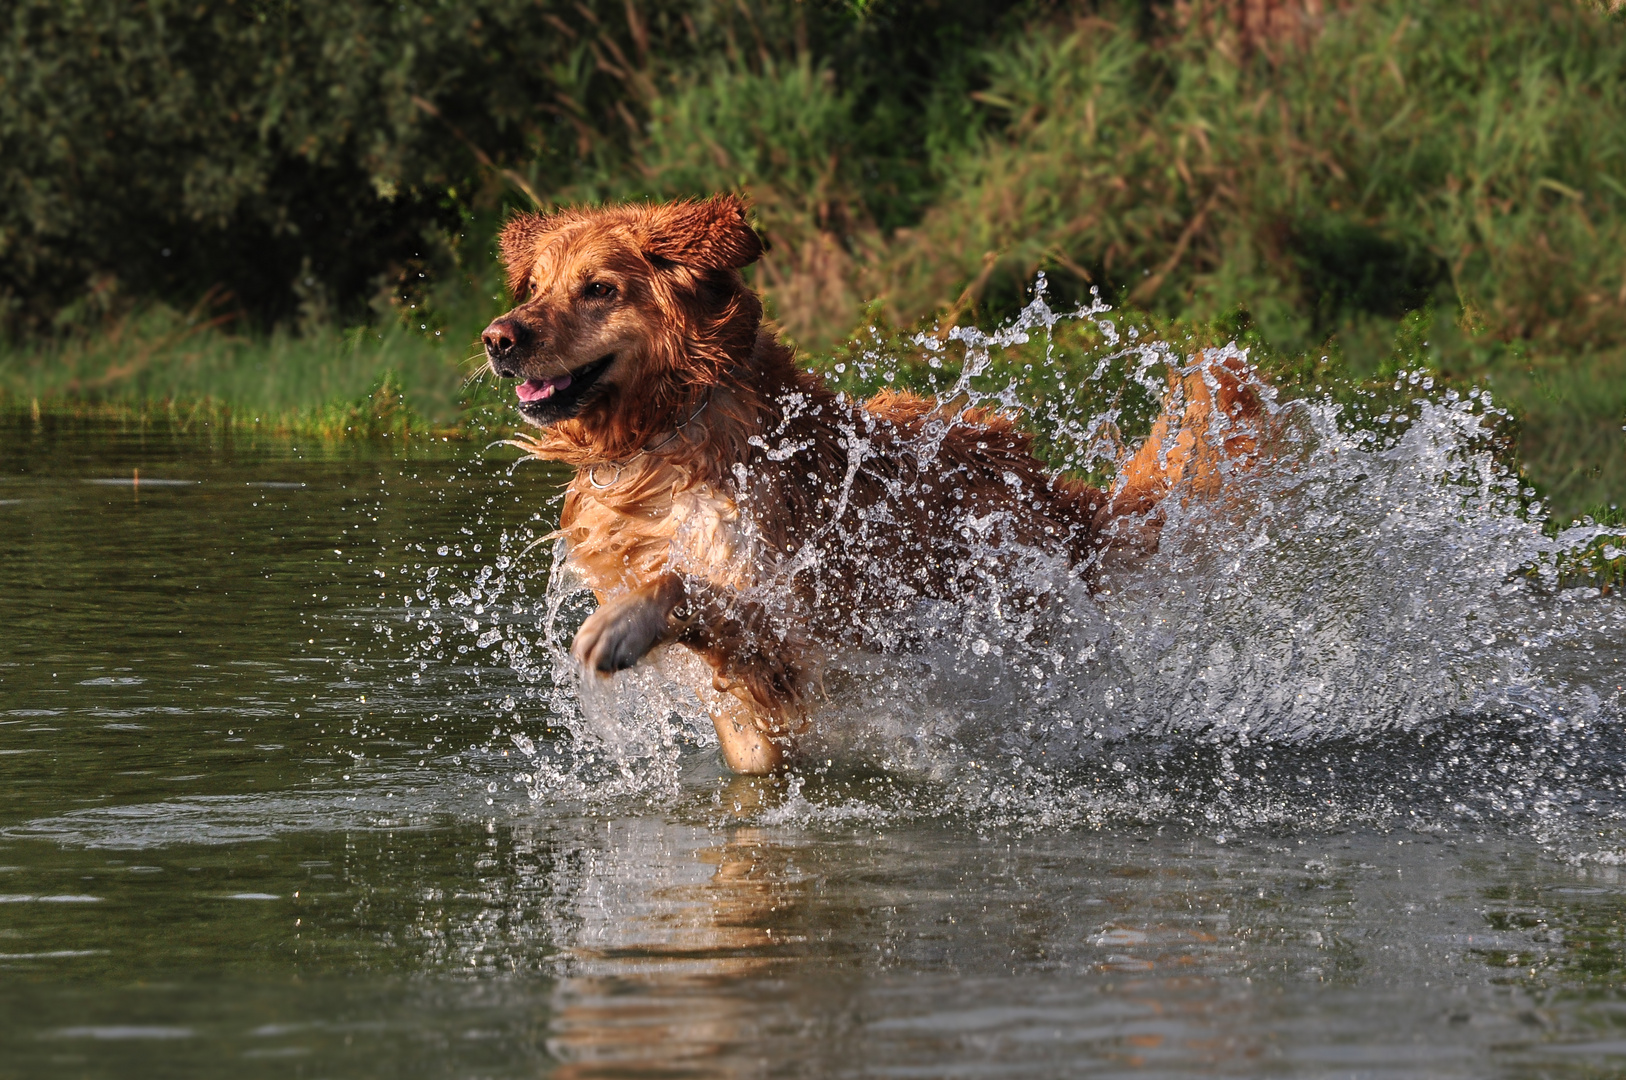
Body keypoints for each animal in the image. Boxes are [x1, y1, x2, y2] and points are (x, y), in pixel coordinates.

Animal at [481, 191, 1268, 767]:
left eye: (599, 289)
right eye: (534, 287)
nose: (497, 338)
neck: (667, 437)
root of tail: (1043, 480)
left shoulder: (794, 632)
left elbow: (688, 586)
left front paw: (623, 624)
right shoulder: (748, 712)